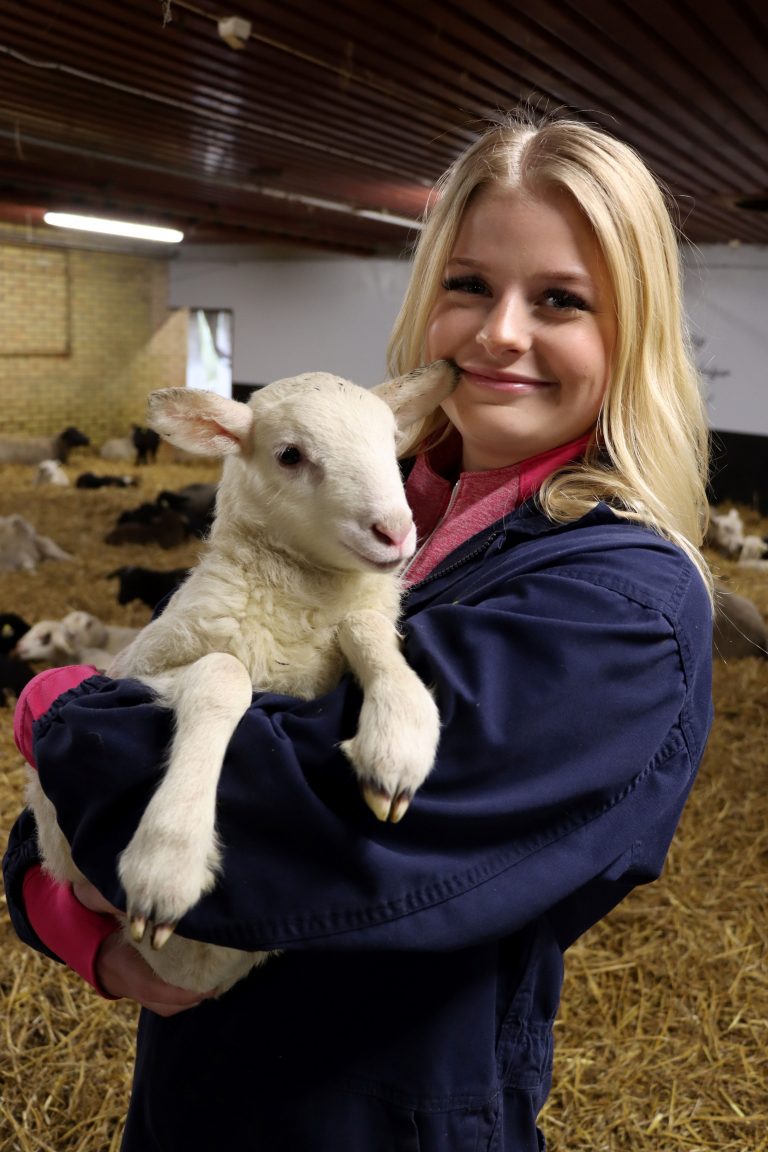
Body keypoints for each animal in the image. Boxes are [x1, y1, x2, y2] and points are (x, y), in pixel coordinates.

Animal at [27, 361, 460, 999]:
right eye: (289, 455)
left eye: (390, 443)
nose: (394, 531)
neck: (302, 601)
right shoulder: (146, 669)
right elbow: (224, 675)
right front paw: (168, 859)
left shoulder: (353, 620)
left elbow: (364, 627)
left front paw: (399, 738)